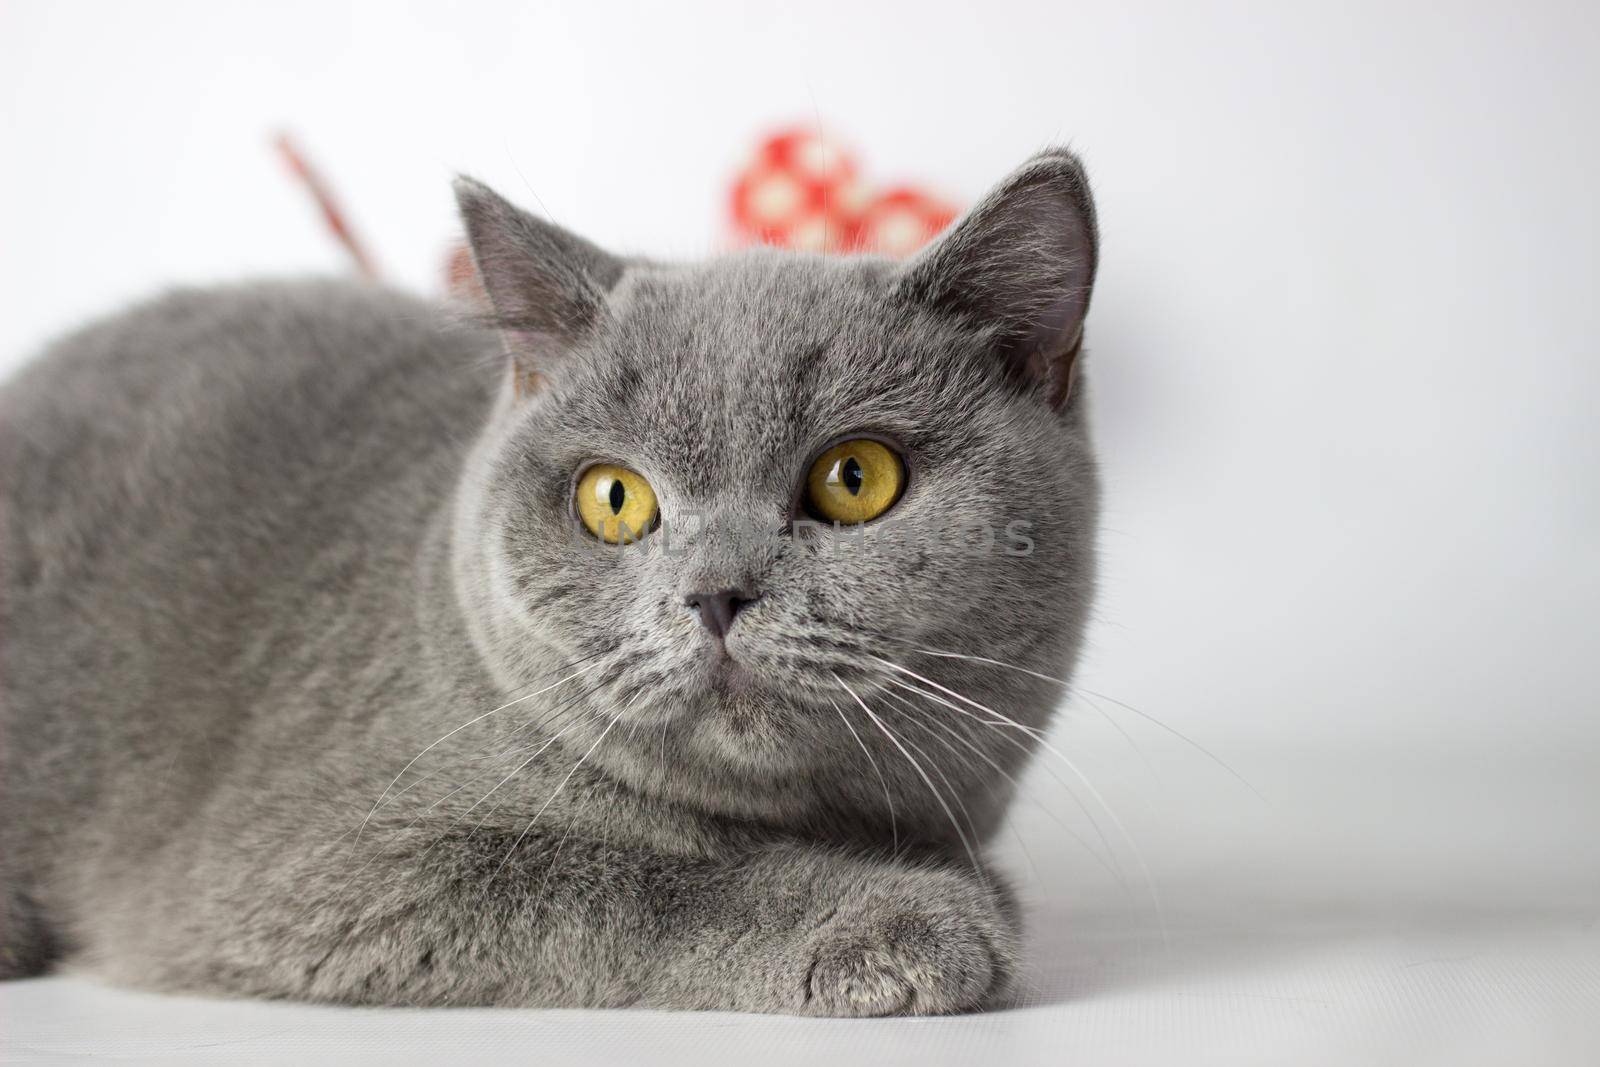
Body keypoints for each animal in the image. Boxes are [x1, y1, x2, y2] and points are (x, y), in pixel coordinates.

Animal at [0, 150, 1100, 1017]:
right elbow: (625, 879)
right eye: (614, 498)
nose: (716, 591)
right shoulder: (312, 867)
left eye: (856, 477)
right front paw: (902, 911)